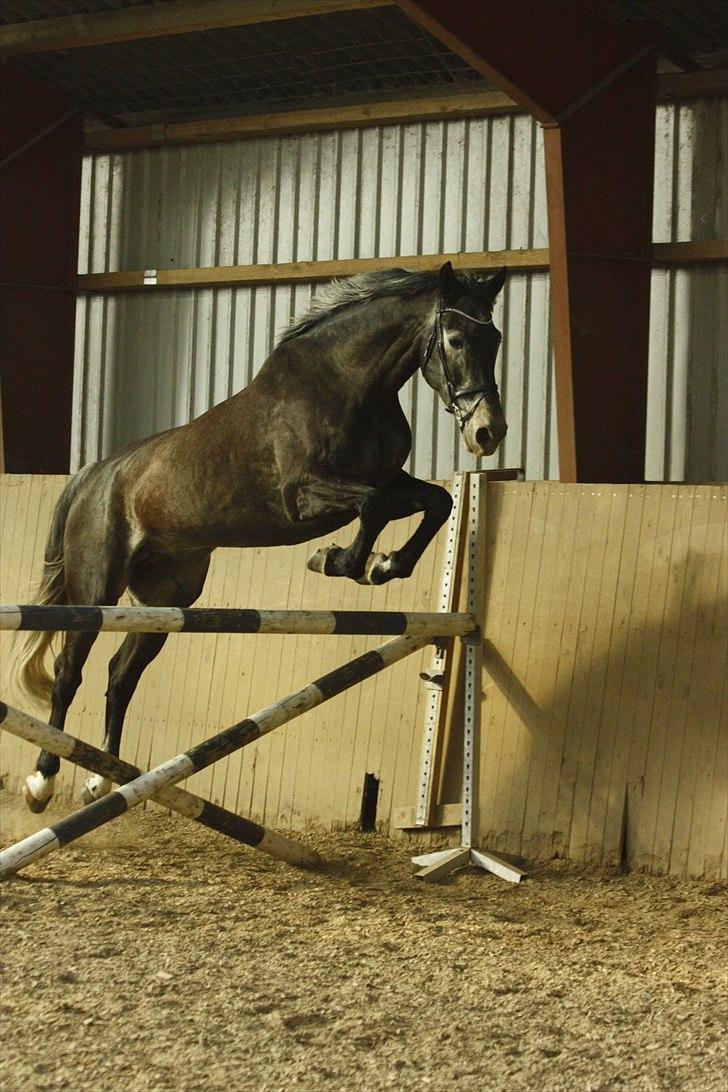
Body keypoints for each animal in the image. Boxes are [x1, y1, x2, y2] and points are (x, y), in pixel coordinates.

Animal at [11, 262, 506, 812]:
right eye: (456, 339)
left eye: (495, 339)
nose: (489, 433)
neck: (350, 387)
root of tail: (94, 474)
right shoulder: (302, 497)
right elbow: (373, 507)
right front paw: (338, 560)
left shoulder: (387, 479)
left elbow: (434, 503)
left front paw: (380, 566)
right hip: (97, 588)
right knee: (68, 671)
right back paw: (42, 781)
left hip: (166, 596)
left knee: (121, 675)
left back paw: (101, 782)